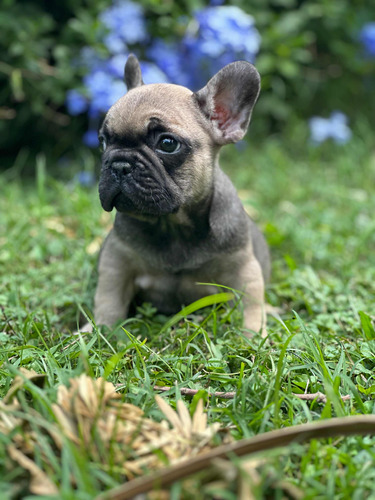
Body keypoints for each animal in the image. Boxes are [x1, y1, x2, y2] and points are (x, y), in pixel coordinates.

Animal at [93, 53, 270, 336]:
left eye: (167, 144)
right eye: (103, 141)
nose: (119, 165)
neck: (173, 225)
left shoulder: (243, 268)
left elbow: (252, 307)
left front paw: (253, 337)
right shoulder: (116, 261)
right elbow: (108, 299)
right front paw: (100, 331)